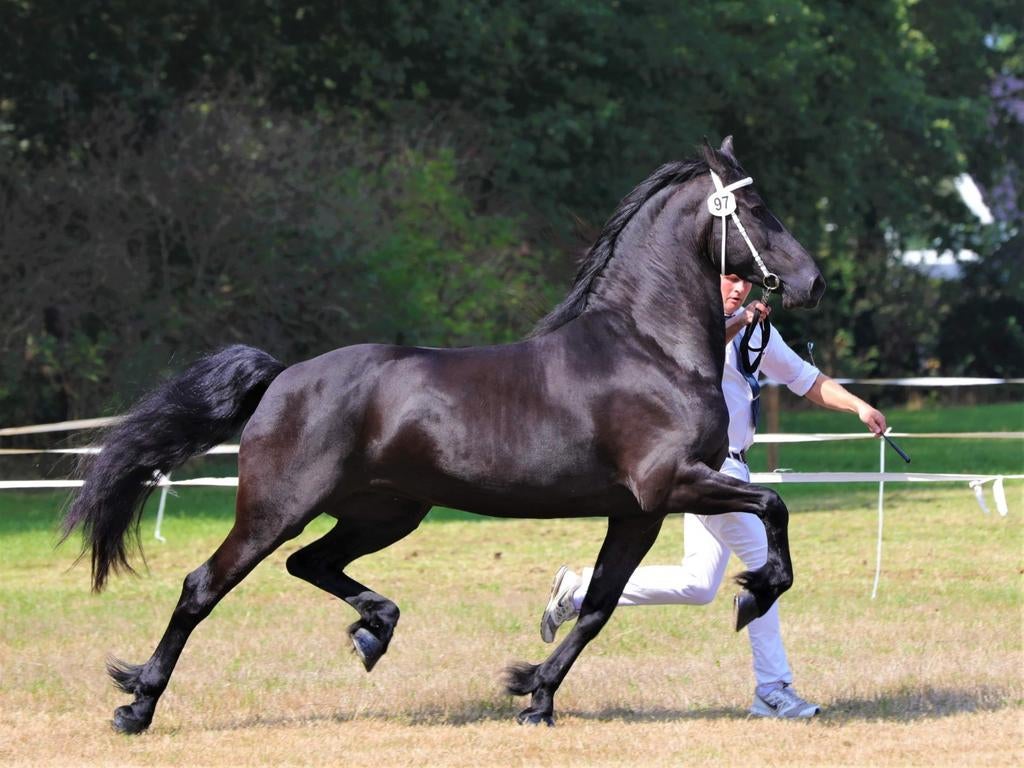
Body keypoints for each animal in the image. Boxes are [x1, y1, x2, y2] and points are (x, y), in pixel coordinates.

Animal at [62, 137, 825, 732]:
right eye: (755, 210)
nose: (813, 282)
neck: (646, 347)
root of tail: (283, 379)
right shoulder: (673, 484)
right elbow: (775, 508)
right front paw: (754, 592)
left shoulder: (638, 510)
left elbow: (598, 607)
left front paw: (533, 695)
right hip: (276, 509)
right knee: (204, 586)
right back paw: (137, 706)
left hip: (386, 512)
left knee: (310, 564)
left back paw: (374, 629)